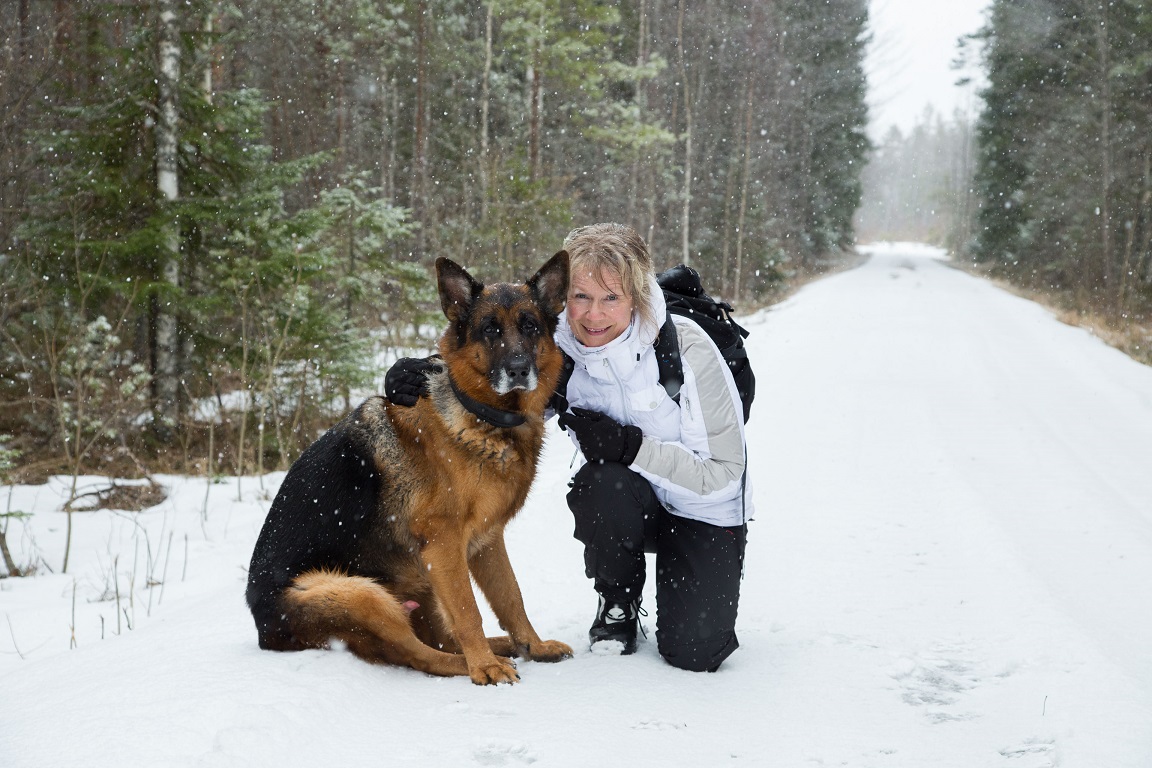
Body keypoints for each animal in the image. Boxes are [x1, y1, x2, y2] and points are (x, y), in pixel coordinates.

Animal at [252, 252, 576, 686]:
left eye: (530, 326)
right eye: (489, 330)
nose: (519, 369)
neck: (481, 414)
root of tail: (264, 631)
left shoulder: (486, 541)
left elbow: (511, 598)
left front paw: (533, 646)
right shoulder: (444, 544)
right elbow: (469, 612)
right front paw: (485, 667)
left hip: (418, 584)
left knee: (438, 639)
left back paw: (504, 647)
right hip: (359, 593)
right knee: (417, 655)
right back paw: (482, 661)